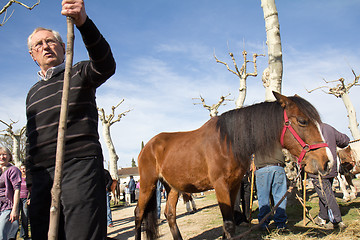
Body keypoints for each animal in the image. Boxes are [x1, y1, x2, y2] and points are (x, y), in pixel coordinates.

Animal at [134, 91, 332, 238]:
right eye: (302, 121)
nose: (327, 161)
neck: (227, 143)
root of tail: (148, 146)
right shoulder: (220, 185)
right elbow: (229, 224)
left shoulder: (235, 185)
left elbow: (227, 225)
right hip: (147, 184)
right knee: (138, 214)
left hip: (173, 187)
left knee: (170, 215)